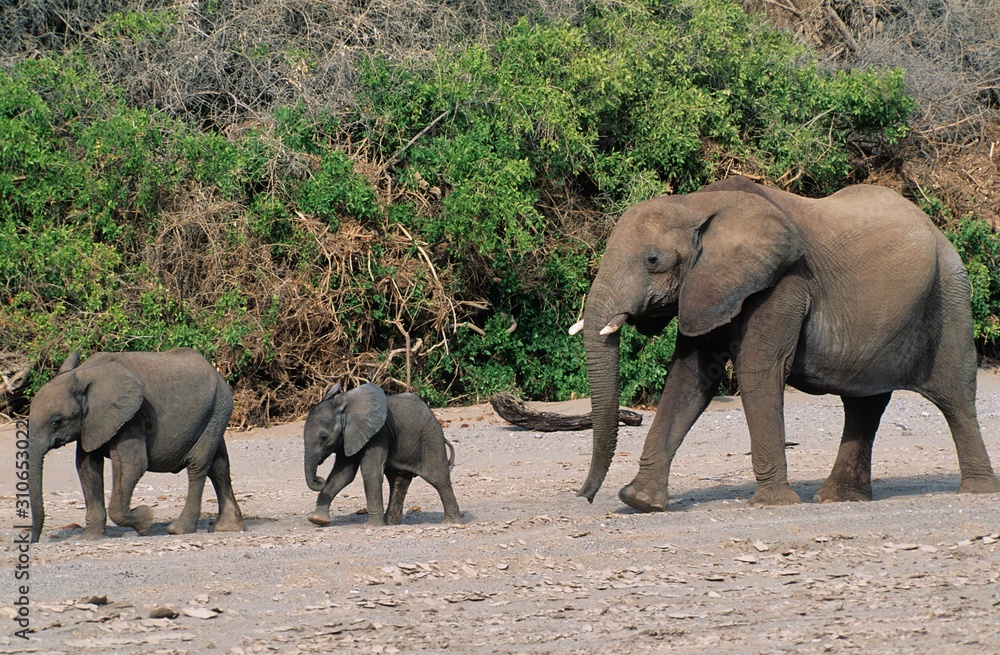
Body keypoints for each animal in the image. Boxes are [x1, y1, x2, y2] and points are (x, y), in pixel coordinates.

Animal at [27, 348, 245, 542]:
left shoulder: (132, 416)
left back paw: (178, 530)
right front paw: (91, 538)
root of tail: (215, 371)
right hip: (215, 414)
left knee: (197, 465)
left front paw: (146, 522)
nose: (33, 541)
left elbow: (132, 466)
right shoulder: (90, 423)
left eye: (56, 421)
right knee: (218, 465)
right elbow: (87, 467)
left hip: (217, 409)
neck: (83, 373)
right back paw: (228, 527)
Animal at [303, 383, 463, 526]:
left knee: (438, 478)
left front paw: (371, 526)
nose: (319, 479)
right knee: (398, 482)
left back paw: (451, 522)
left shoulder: (378, 434)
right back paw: (391, 523)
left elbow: (370, 471)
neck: (344, 405)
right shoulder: (348, 437)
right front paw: (317, 520)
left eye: (324, 437)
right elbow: (343, 474)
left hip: (431, 437)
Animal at [572, 176, 1000, 512]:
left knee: (955, 396)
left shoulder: (783, 284)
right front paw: (640, 501)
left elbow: (757, 369)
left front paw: (773, 503)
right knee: (864, 403)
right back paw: (838, 498)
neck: (698, 204)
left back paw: (977, 491)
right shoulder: (709, 287)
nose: (584, 497)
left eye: (653, 260)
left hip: (950, 293)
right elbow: (690, 378)